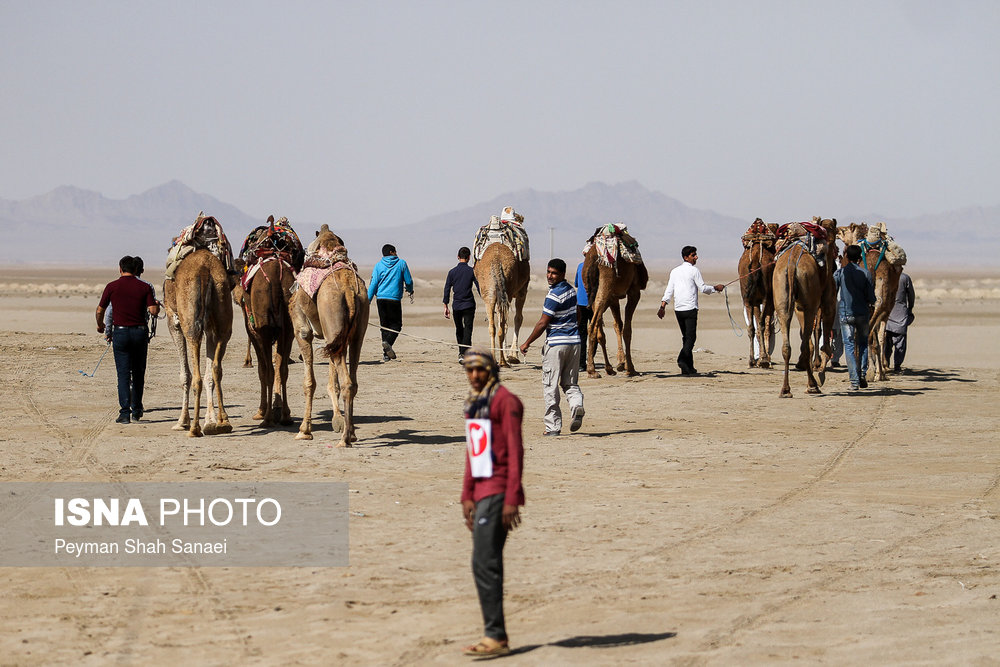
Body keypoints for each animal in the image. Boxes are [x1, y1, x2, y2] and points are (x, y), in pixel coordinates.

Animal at [163, 248, 235, 436]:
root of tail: (205, 269)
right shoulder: (210, 328)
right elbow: (209, 371)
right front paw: (210, 421)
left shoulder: (173, 321)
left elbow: (184, 375)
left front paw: (182, 421)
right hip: (223, 309)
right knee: (216, 368)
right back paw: (222, 422)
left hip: (189, 321)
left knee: (196, 375)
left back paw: (194, 428)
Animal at [288, 228, 370, 448]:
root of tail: (349, 290)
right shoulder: (333, 337)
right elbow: (332, 382)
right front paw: (338, 421)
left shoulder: (302, 329)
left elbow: (309, 382)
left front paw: (304, 430)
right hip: (356, 331)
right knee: (353, 380)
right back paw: (351, 433)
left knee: (347, 383)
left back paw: (345, 439)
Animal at [580, 227, 648, 378]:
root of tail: (593, 257)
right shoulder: (634, 292)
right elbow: (627, 329)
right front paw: (630, 368)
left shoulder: (614, 297)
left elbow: (618, 325)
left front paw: (620, 363)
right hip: (607, 280)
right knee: (593, 325)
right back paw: (592, 370)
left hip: (592, 290)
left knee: (598, 327)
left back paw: (607, 368)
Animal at [772, 230, 828, 396]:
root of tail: (791, 265)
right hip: (809, 304)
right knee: (805, 344)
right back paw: (812, 385)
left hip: (781, 295)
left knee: (787, 346)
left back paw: (785, 390)